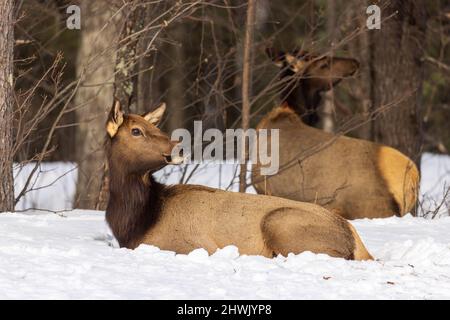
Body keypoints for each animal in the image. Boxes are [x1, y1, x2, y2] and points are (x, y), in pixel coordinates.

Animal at [104, 101, 372, 262]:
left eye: (154, 127)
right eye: (136, 130)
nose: (179, 147)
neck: (137, 222)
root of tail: (356, 239)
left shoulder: (194, 244)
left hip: (281, 222)